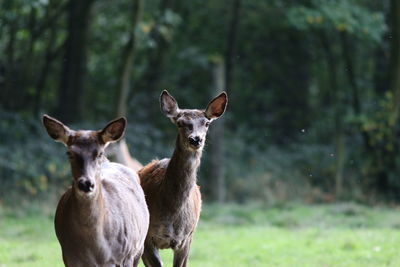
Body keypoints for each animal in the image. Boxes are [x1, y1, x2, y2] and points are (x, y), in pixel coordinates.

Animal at [42, 115, 149, 267]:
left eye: (99, 153)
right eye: (69, 153)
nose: (86, 184)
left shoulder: (126, 255)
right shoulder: (69, 257)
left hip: (138, 248)